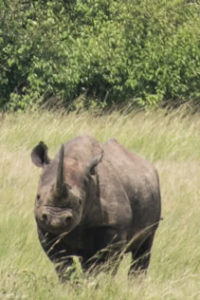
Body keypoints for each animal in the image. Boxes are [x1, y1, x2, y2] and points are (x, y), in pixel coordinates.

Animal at [31, 135, 162, 280]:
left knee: (144, 247)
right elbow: (63, 265)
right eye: (38, 197)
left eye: (79, 202)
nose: (56, 220)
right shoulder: (46, 230)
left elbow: (106, 266)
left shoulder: (114, 227)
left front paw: (100, 284)